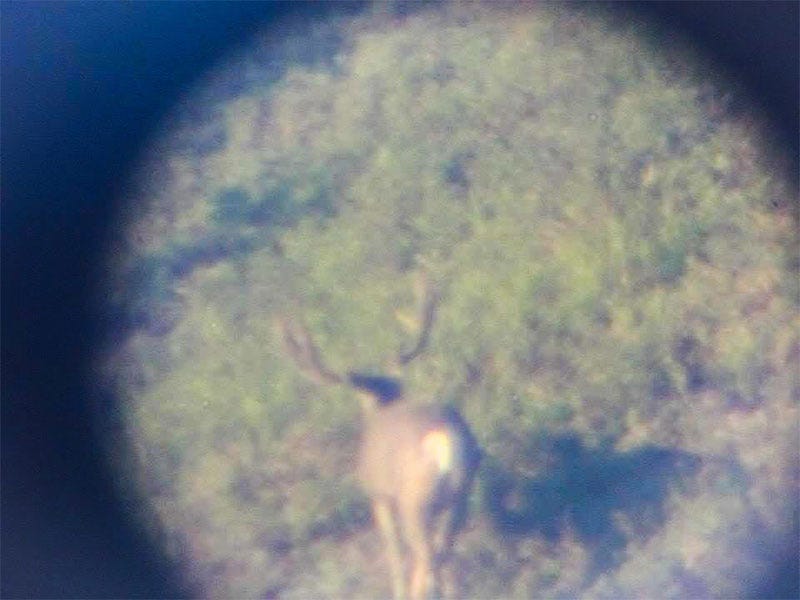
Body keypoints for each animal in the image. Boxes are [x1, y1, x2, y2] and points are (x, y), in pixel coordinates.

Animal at [277, 274, 481, 600]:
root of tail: (444, 439)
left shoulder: (379, 497)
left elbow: (394, 557)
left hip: (414, 503)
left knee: (426, 559)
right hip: (459, 497)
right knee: (444, 556)